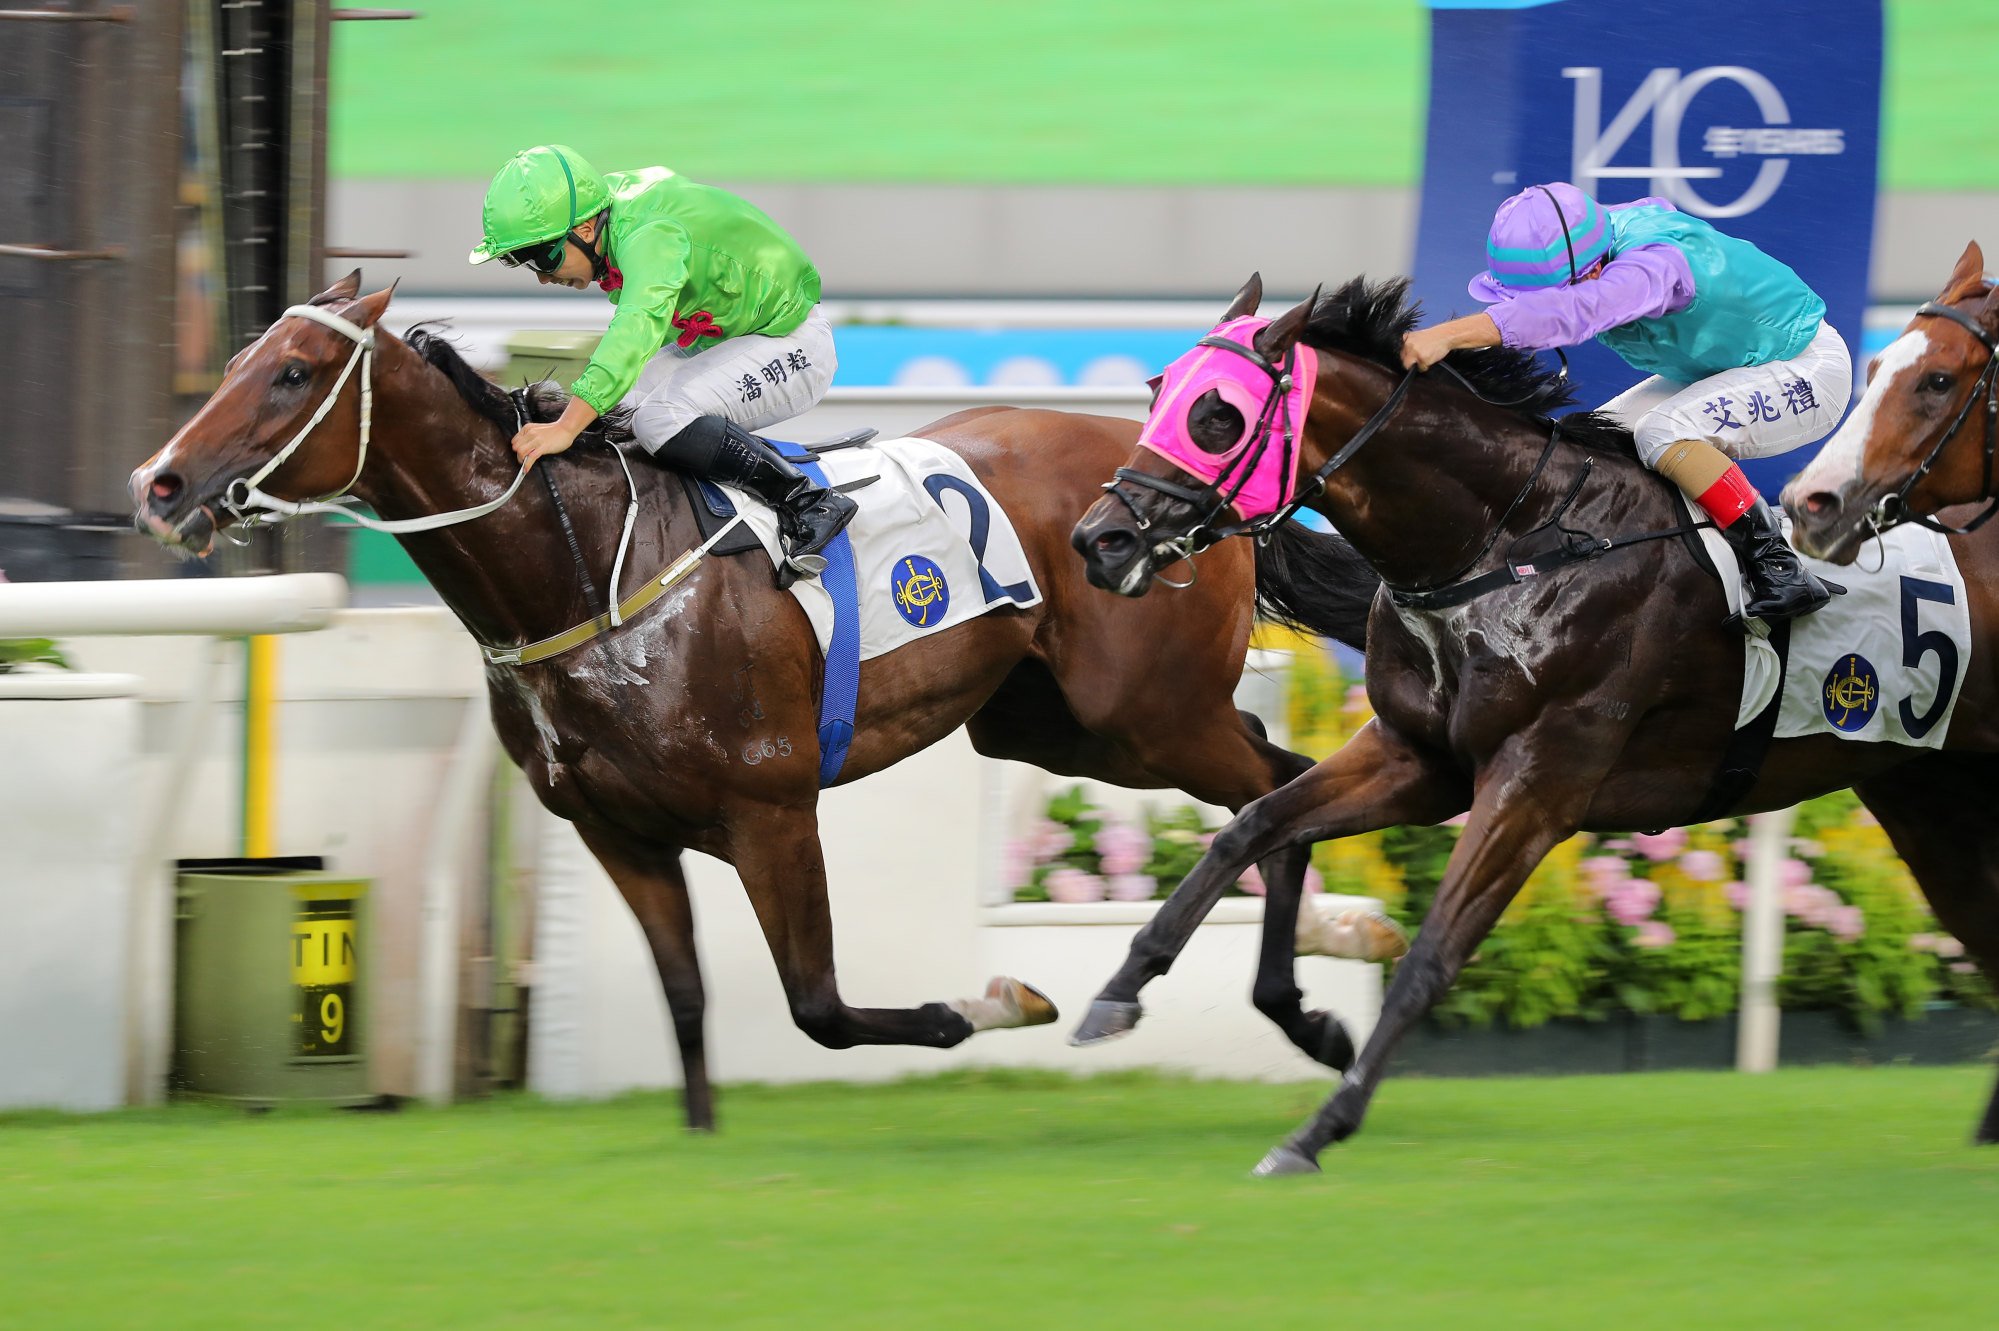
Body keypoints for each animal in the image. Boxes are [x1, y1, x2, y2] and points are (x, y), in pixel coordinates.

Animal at [128, 273, 1391, 1127]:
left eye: (292, 373)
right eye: (235, 360)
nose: (162, 482)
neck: (587, 571)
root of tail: (1182, 485)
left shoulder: (773, 812)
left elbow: (818, 1004)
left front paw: (997, 1000)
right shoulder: (617, 831)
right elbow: (686, 997)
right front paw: (699, 1128)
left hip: (1150, 712)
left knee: (1267, 792)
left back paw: (1317, 985)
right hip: (1061, 725)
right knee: (1272, 782)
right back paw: (1332, 955)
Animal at [1071, 271, 1999, 1175]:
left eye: (1215, 416)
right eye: (1155, 392)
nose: (1099, 540)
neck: (1508, 539)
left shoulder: (1537, 782)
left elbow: (1431, 951)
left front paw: (1318, 1128)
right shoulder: (1419, 758)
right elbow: (1253, 826)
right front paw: (1118, 992)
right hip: (1929, 795)